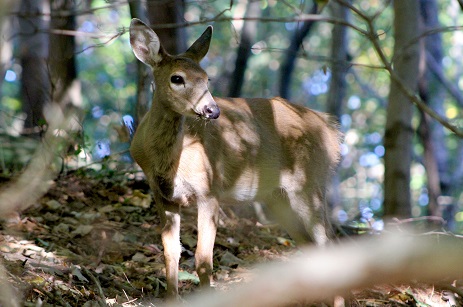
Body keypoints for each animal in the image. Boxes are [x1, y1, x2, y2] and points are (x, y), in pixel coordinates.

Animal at [129, 18, 342, 298]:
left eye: (207, 78)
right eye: (177, 78)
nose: (212, 110)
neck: (169, 161)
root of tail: (332, 131)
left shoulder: (209, 189)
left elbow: (203, 260)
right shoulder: (163, 194)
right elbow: (170, 254)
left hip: (309, 183)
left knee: (330, 243)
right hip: (278, 198)